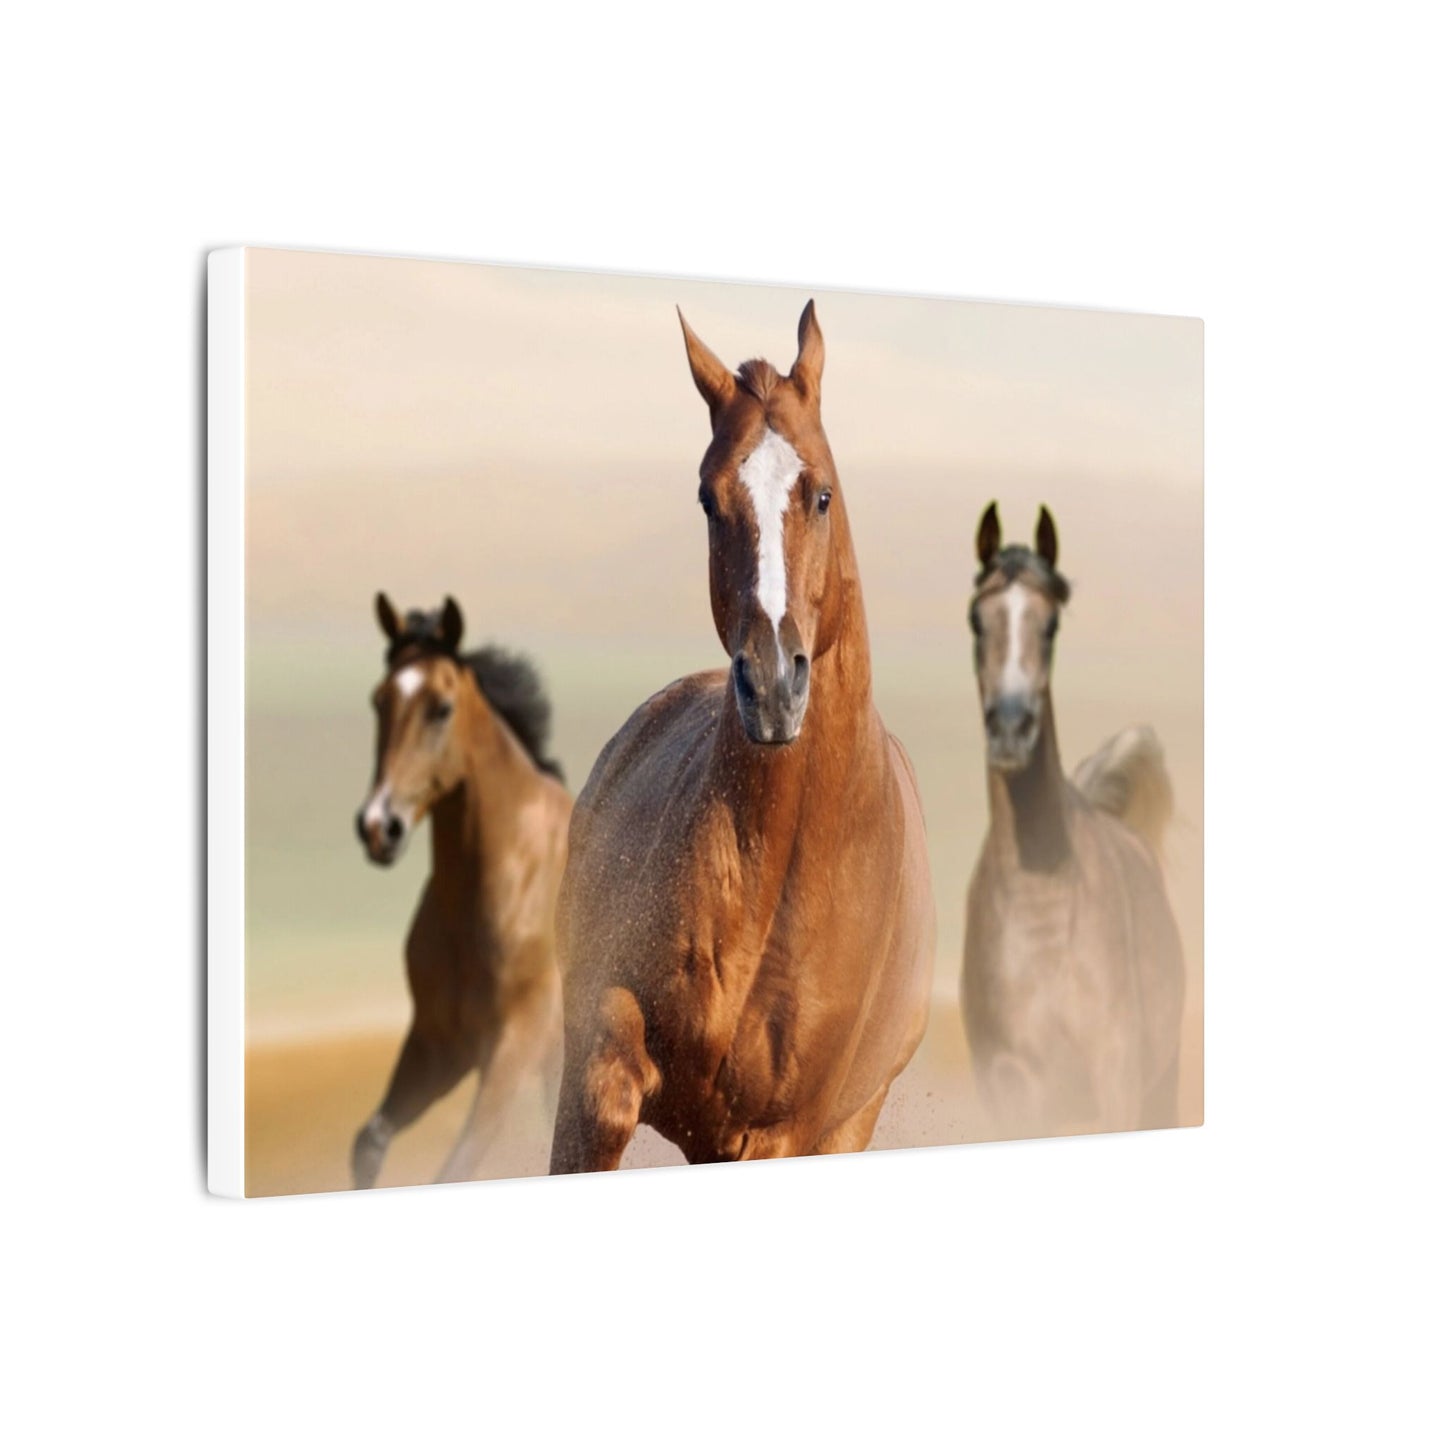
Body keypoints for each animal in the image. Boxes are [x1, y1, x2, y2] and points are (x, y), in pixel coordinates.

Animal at [352, 593, 572, 1187]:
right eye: (378, 701)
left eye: (441, 708)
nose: (379, 826)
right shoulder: (440, 1044)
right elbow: (369, 1143)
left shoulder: (515, 1045)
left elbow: (458, 1165)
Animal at [548, 301, 936, 1172]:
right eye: (707, 497)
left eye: (821, 493)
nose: (771, 685)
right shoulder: (601, 1055)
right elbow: (607, 1092)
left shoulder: (775, 1132)